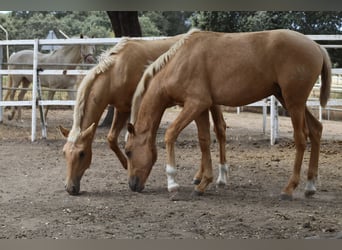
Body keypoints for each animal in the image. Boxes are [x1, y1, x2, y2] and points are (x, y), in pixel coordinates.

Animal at [58, 34, 228, 195]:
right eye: (64, 153)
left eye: (82, 154)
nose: (69, 188)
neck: (117, 70)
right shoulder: (121, 109)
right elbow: (111, 139)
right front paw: (126, 164)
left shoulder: (133, 108)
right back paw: (200, 177)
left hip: (210, 103)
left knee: (219, 129)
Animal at [125, 28, 332, 200]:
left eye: (128, 152)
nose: (132, 185)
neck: (181, 61)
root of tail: (317, 47)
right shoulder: (200, 108)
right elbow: (204, 140)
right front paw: (204, 183)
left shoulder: (195, 104)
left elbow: (170, 134)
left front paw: (173, 182)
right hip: (290, 100)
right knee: (316, 130)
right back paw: (310, 186)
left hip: (294, 103)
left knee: (301, 139)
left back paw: (289, 189)